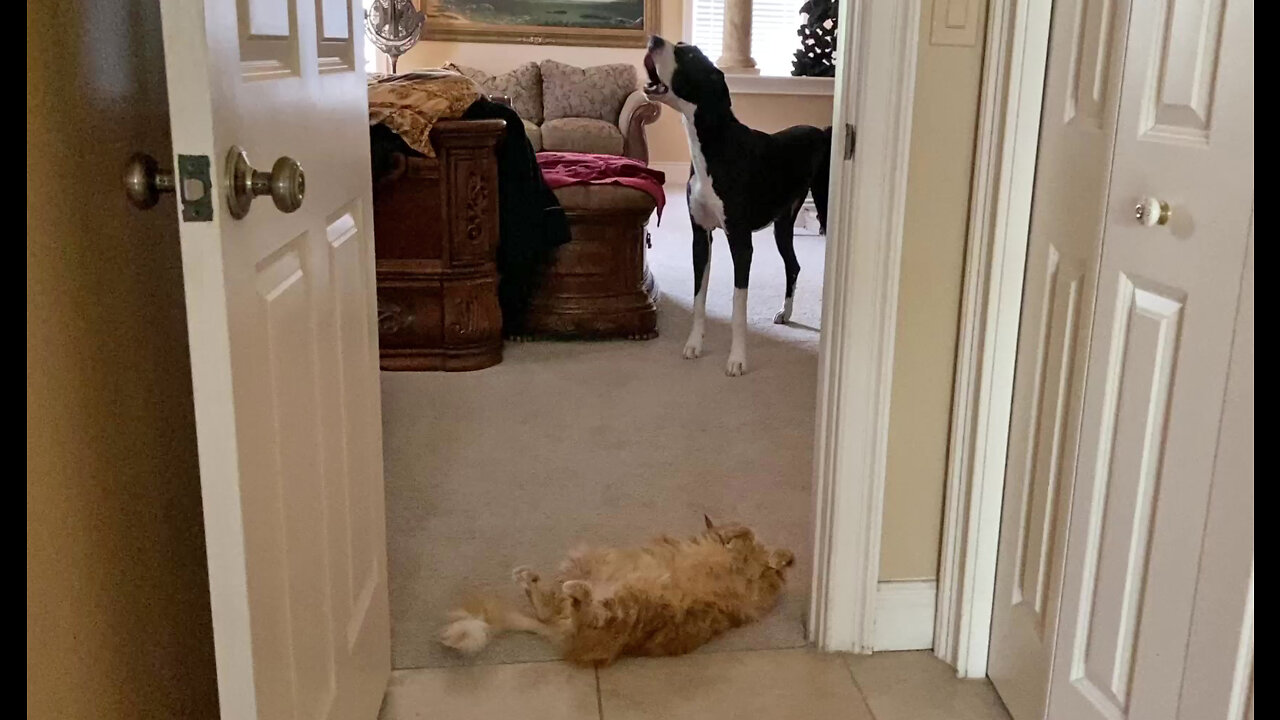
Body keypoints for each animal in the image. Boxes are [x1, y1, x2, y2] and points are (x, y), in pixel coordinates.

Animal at [445, 515, 793, 661]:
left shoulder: (758, 592)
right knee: (564, 607)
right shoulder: (757, 585)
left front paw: (778, 557)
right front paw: (773, 553)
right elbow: (747, 533)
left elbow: (755, 544)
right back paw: (543, 582)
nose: (719, 536)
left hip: (621, 602)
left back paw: (544, 584)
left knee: (561, 608)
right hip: (602, 578)